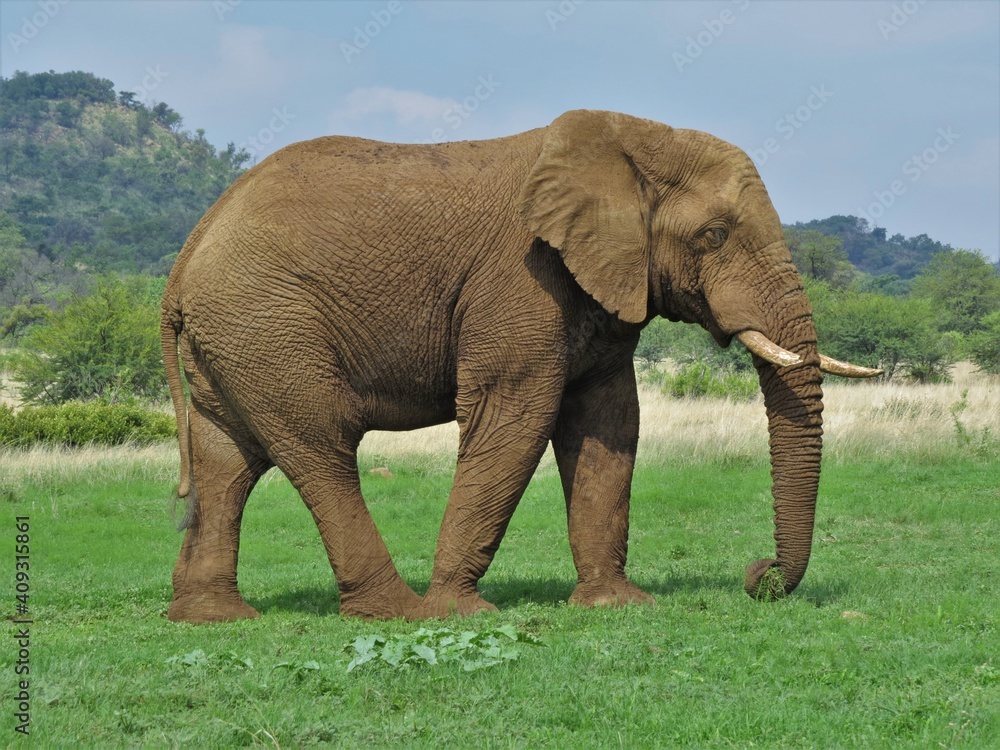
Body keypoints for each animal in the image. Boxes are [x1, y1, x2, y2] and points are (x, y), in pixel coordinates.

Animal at [161, 109, 878, 624]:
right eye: (714, 236)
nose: (758, 577)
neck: (629, 139)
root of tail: (188, 253)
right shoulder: (519, 279)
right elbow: (517, 417)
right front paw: (461, 613)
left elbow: (608, 424)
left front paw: (616, 606)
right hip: (268, 323)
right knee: (322, 448)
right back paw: (398, 612)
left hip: (237, 337)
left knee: (227, 460)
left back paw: (214, 619)